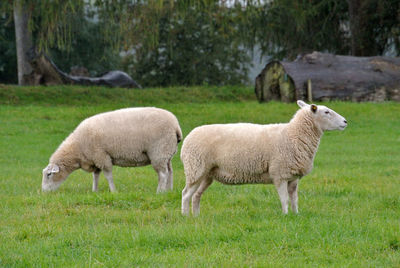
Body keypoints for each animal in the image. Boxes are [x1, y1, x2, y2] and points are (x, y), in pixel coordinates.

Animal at [42, 107, 183, 193]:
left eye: (49, 174)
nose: (43, 192)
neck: (78, 148)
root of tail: (176, 125)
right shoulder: (95, 160)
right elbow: (96, 176)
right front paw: (95, 191)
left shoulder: (102, 156)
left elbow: (108, 176)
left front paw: (113, 191)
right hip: (167, 153)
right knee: (170, 172)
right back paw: (168, 190)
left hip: (159, 151)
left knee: (163, 174)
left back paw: (159, 192)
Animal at [180, 100, 346, 216]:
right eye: (326, 112)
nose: (345, 121)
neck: (293, 135)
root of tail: (188, 137)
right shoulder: (280, 173)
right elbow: (284, 199)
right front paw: (285, 216)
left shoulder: (293, 177)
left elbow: (294, 199)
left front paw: (296, 214)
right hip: (196, 168)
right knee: (186, 194)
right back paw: (186, 216)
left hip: (207, 173)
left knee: (196, 195)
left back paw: (196, 216)